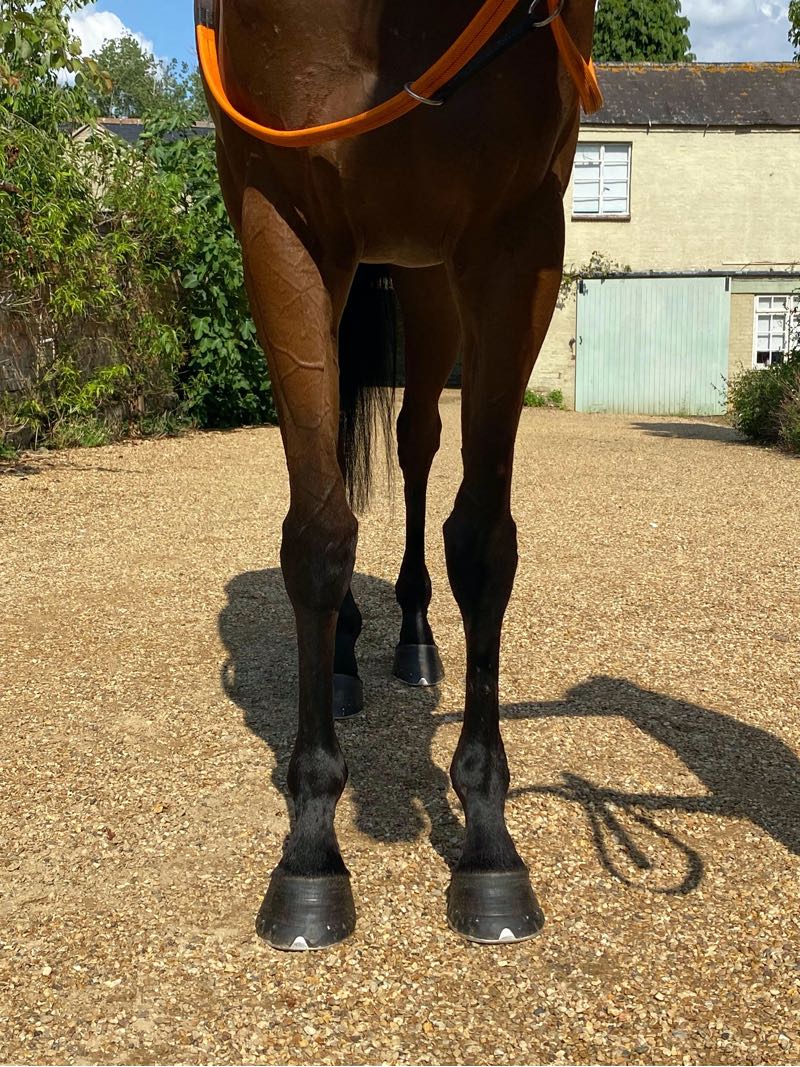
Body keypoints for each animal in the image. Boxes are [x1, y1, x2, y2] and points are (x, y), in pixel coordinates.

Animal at [195, 0, 599, 950]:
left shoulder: (517, 236)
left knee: (418, 442)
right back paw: (343, 652)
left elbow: (483, 541)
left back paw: (412, 635)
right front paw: (310, 849)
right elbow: (317, 536)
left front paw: (488, 838)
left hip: (427, 277)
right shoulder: (282, 223)